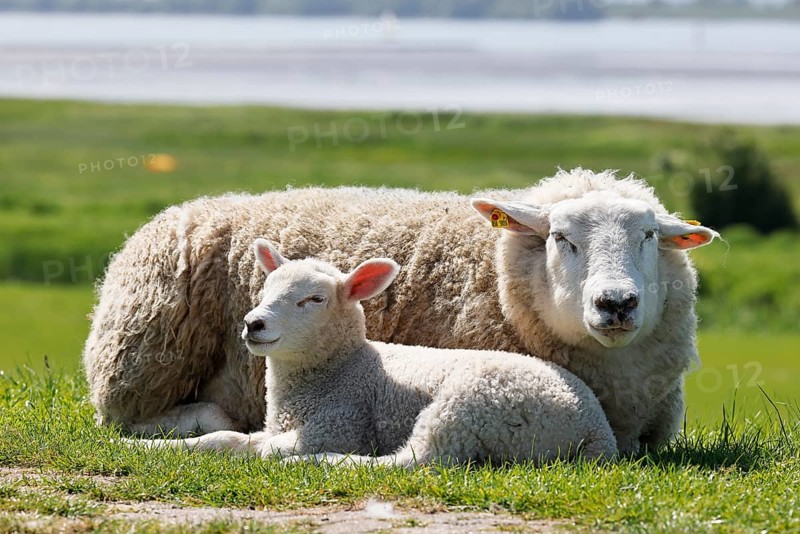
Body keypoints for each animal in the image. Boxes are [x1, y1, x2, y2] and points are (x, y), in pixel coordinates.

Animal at [127, 239, 617, 467]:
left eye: (314, 300)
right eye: (266, 288)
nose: (254, 324)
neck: (345, 367)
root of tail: (597, 430)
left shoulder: (339, 422)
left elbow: (262, 450)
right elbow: (221, 439)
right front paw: (142, 445)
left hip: (470, 408)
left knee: (413, 462)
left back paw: (327, 464)